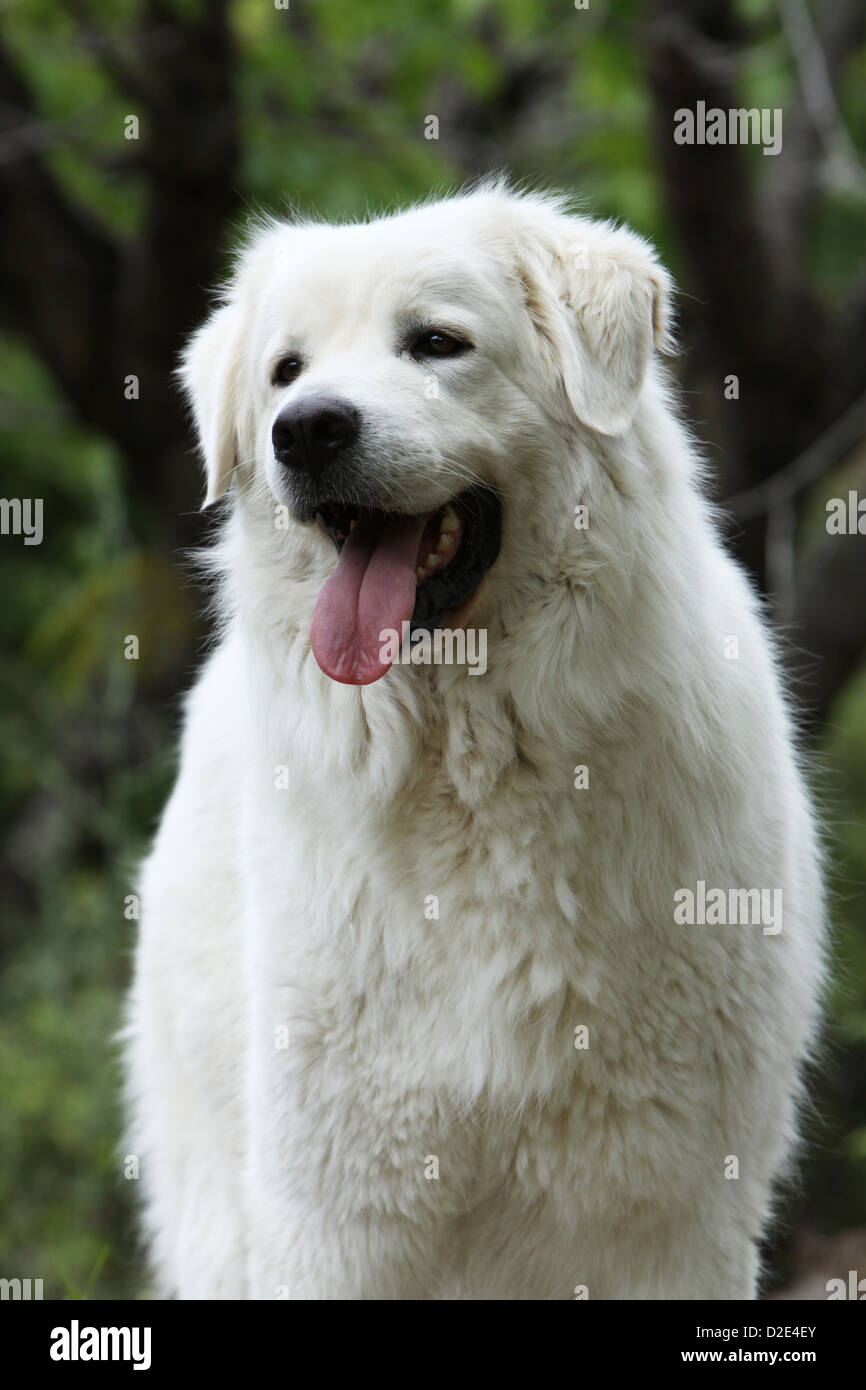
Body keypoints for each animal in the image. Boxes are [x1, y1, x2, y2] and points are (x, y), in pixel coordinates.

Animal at [123, 184, 828, 1301]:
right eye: (286, 370)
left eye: (435, 343)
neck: (475, 768)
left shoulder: (664, 1220)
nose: (304, 431)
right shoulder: (335, 1222)